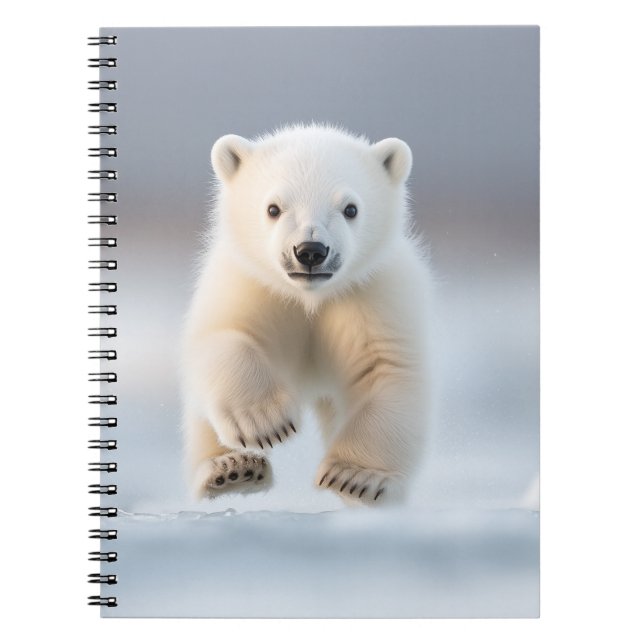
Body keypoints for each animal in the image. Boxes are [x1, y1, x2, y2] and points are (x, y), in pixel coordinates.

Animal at [181, 124, 432, 505]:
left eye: (350, 208)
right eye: (273, 208)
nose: (310, 251)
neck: (310, 298)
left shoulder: (373, 293)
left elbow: (389, 370)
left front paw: (356, 477)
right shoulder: (252, 284)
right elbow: (224, 335)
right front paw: (266, 421)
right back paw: (232, 469)